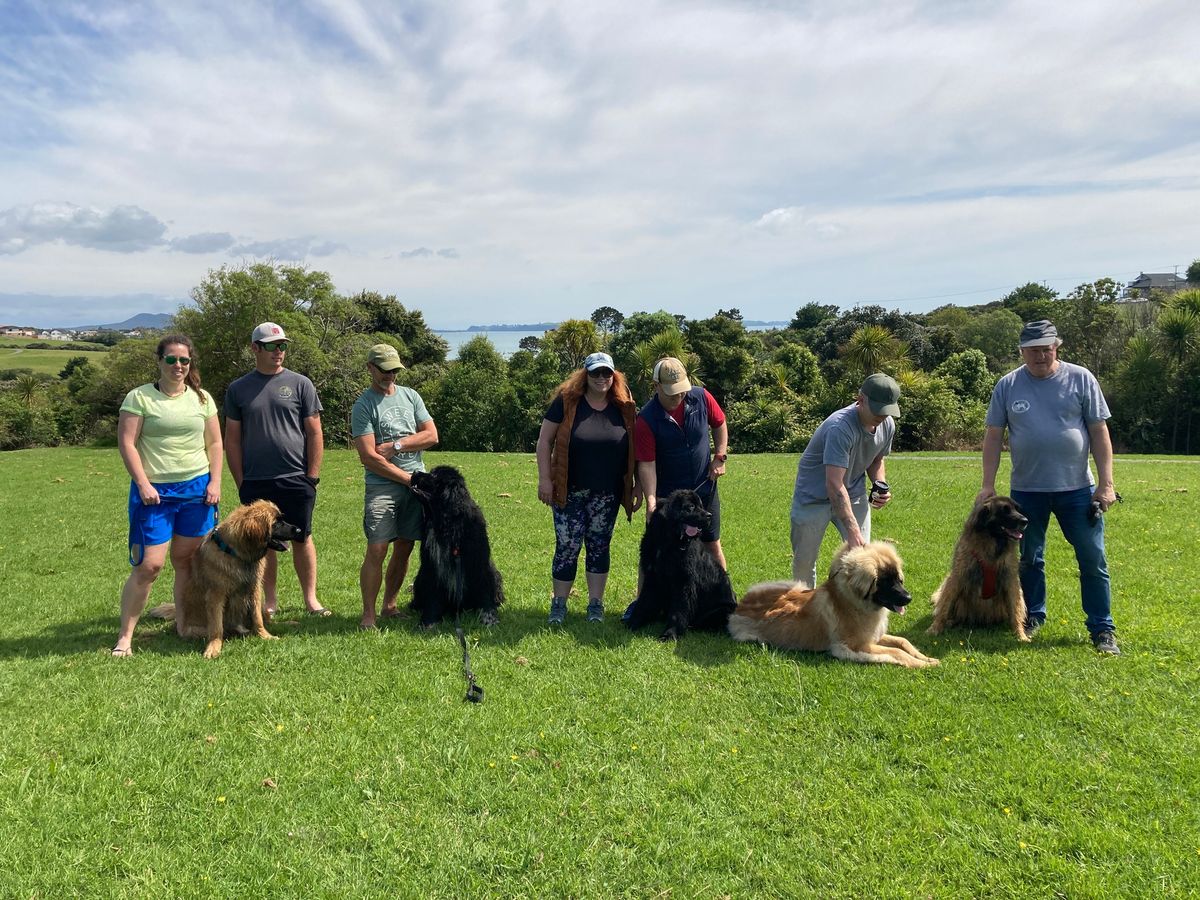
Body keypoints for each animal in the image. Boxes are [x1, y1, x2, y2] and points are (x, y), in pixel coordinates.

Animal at [154, 504, 302, 657]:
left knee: (265, 618)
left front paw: (265, 635)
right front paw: (214, 647)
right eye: (276, 523)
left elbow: (258, 618)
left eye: (282, 520)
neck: (236, 554)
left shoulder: (254, 588)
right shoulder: (216, 595)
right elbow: (217, 626)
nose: (299, 530)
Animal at [405, 465, 504, 628]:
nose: (414, 472)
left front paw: (489, 618)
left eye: (434, 475)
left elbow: (484, 594)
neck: (448, 524)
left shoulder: (479, 564)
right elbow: (433, 598)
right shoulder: (433, 568)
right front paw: (428, 622)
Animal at [624, 494, 734, 643]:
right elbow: (644, 602)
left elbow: (679, 609)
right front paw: (633, 623)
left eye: (701, 505)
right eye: (691, 507)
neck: (667, 543)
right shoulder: (652, 577)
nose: (709, 515)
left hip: (725, 610)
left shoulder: (683, 582)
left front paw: (670, 633)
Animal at [724, 542, 940, 672]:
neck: (853, 602)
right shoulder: (855, 646)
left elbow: (903, 642)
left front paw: (926, 658)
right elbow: (895, 652)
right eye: (885, 582)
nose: (908, 598)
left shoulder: (873, 637)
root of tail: (739, 607)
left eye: (898, 579)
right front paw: (921, 664)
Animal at [926, 501, 1032, 643]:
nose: (1025, 521)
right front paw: (935, 628)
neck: (992, 544)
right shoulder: (957, 577)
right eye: (1005, 510)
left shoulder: (1011, 580)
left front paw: (1020, 635)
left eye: (1017, 509)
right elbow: (944, 606)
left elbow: (1016, 610)